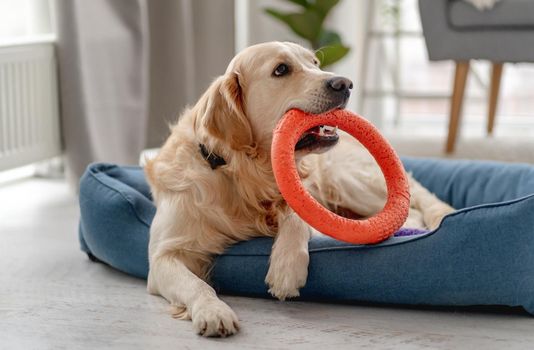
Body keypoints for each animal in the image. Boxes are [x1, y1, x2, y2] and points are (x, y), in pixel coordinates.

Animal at [143, 40, 456, 336]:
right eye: (281, 69)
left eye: (315, 63)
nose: (345, 84)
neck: (240, 175)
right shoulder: (163, 256)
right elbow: (196, 285)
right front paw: (213, 311)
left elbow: (296, 218)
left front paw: (285, 269)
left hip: (343, 179)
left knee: (412, 211)